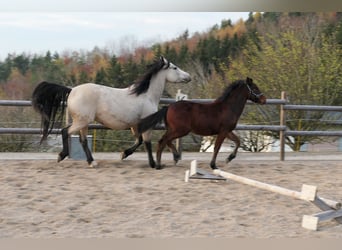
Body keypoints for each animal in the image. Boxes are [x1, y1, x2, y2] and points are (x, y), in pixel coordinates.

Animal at [138, 76, 266, 170]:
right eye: (255, 88)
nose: (264, 100)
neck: (228, 108)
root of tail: (168, 107)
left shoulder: (227, 131)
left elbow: (238, 141)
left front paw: (229, 158)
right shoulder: (223, 131)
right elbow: (217, 147)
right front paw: (213, 165)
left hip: (174, 130)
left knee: (166, 141)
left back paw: (175, 157)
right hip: (180, 130)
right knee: (163, 141)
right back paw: (159, 165)